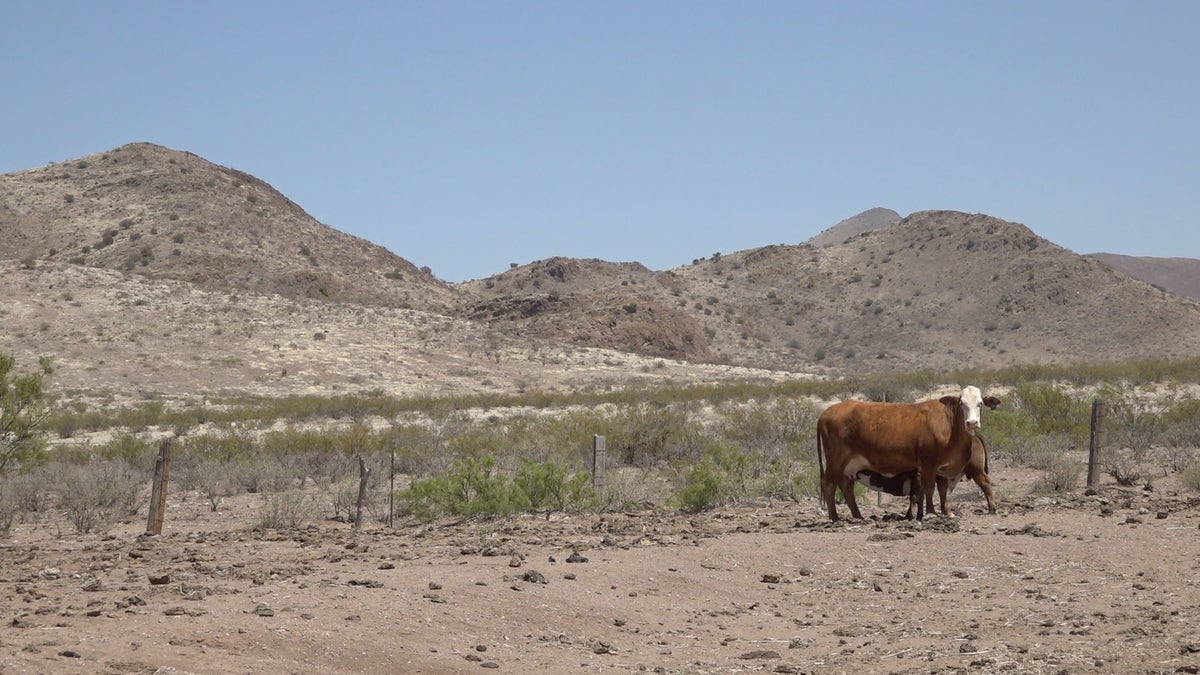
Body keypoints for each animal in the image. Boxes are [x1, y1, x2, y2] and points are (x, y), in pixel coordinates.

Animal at [816, 384, 1003, 521]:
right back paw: (834, 517)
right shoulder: (928, 465)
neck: (949, 428)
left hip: (851, 465)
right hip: (836, 459)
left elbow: (940, 490)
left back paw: (858, 516)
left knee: (846, 486)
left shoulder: (941, 468)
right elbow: (929, 488)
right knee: (829, 483)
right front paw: (930, 513)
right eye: (961, 403)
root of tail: (826, 412)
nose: (972, 422)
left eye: (980, 403)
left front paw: (944, 512)